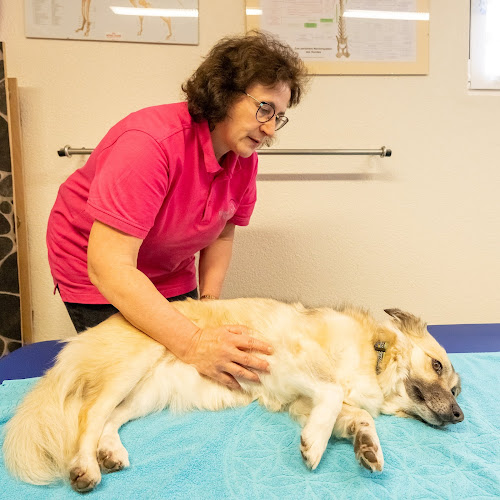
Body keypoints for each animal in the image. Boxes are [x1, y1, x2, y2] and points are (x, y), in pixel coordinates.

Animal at [1, 296, 462, 492]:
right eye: (437, 367)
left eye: (457, 390)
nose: (459, 415)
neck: (374, 356)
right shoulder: (289, 363)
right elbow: (332, 392)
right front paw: (314, 446)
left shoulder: (303, 402)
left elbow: (355, 417)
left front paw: (366, 447)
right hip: (130, 367)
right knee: (88, 414)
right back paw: (85, 468)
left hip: (144, 395)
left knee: (107, 420)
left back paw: (110, 453)